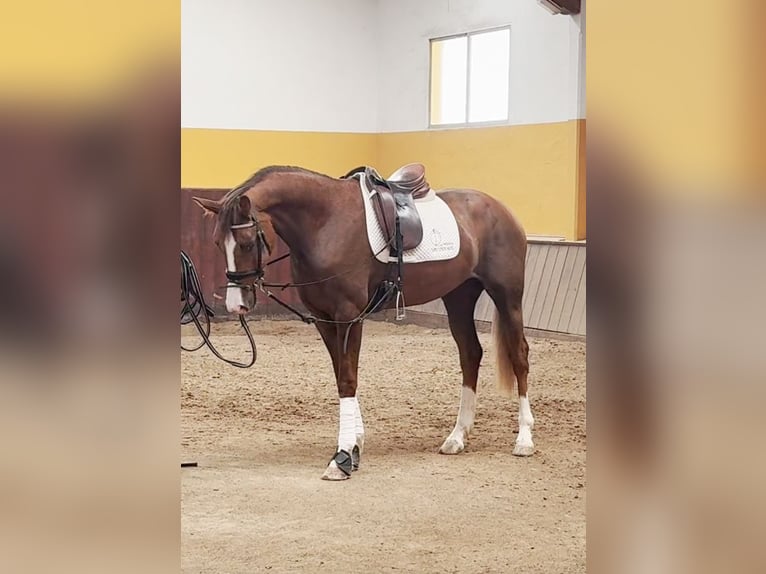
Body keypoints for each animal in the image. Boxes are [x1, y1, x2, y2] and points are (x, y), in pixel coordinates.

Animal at [192, 165, 533, 480]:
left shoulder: (348, 315)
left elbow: (347, 379)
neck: (326, 221)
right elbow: (340, 375)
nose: (236, 304)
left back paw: (524, 439)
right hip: (459, 297)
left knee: (519, 356)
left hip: (507, 296)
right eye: (217, 243)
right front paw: (354, 446)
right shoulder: (324, 319)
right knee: (470, 354)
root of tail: (500, 209)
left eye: (247, 242)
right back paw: (457, 437)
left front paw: (342, 457)